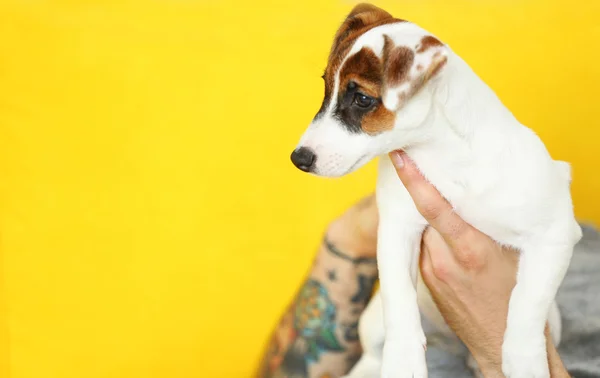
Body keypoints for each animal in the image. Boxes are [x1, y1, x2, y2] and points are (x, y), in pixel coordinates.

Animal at [290, 3, 580, 378]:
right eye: (326, 87)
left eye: (362, 99)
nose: (299, 158)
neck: (445, 157)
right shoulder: (397, 229)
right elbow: (399, 301)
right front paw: (403, 362)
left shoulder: (554, 235)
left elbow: (526, 306)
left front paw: (525, 364)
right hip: (373, 327)